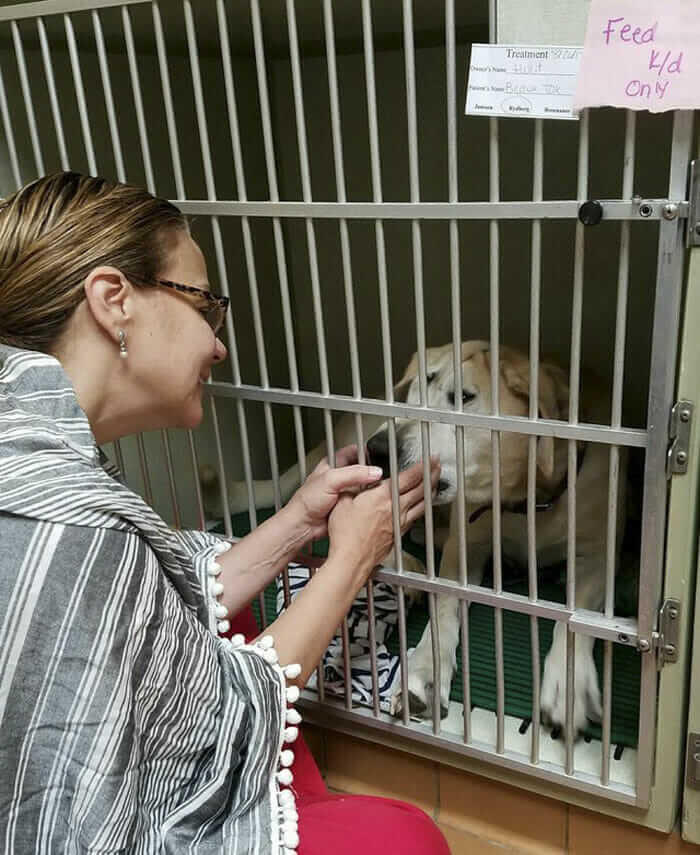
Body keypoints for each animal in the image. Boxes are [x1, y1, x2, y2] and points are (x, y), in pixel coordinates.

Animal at [200, 342, 628, 736]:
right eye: (422, 384)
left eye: (466, 398)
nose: (378, 448)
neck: (525, 502)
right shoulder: (465, 546)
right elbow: (443, 610)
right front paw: (426, 671)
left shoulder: (599, 557)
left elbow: (576, 620)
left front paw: (567, 685)